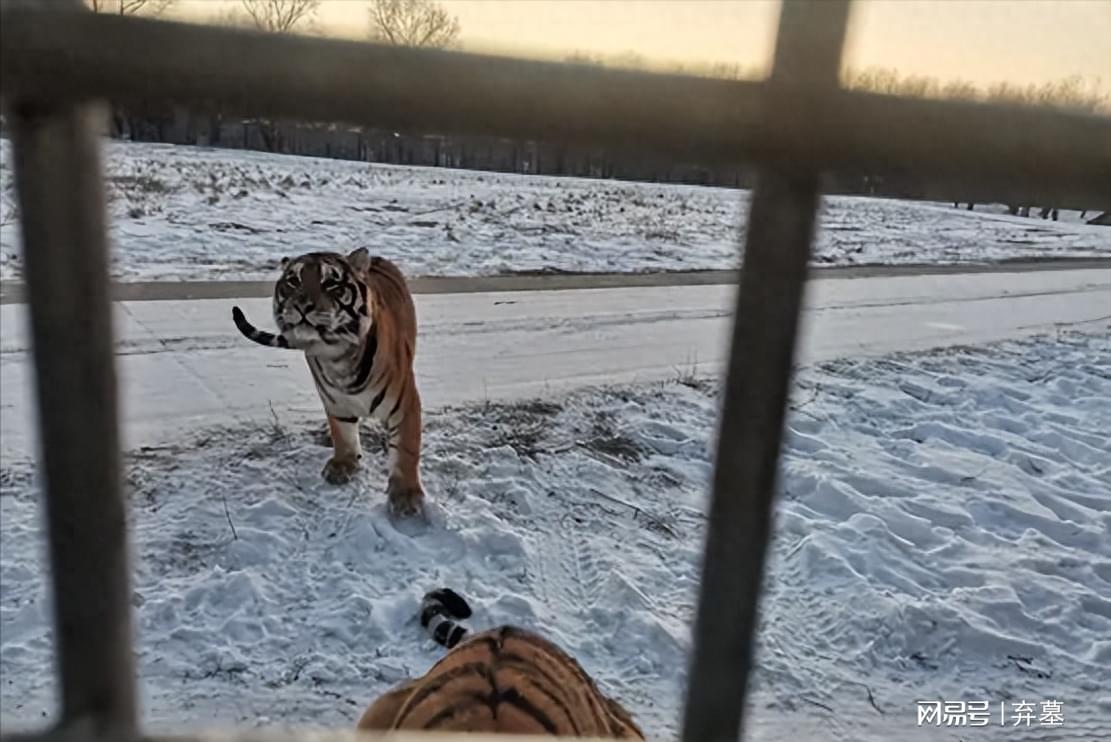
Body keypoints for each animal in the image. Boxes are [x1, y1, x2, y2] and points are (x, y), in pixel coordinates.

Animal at [232, 248, 422, 515]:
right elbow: (343, 434)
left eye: (330, 283)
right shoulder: (335, 402)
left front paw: (406, 497)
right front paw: (344, 465)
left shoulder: (405, 405)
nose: (302, 305)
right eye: (294, 281)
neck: (338, 357)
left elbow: (406, 451)